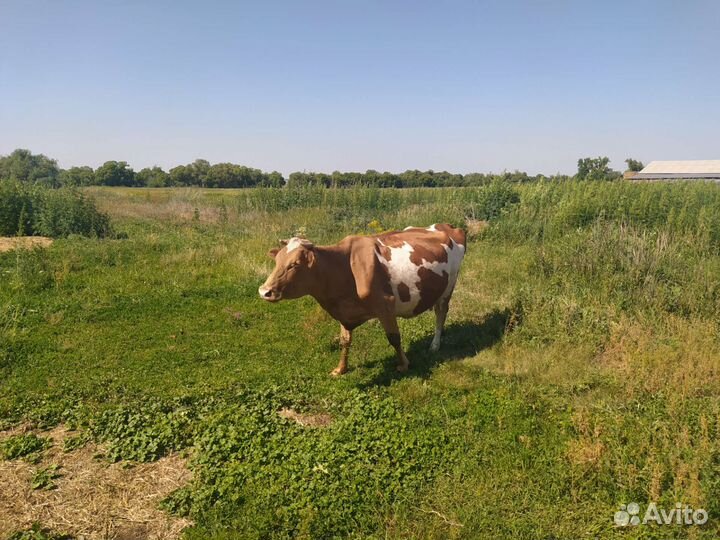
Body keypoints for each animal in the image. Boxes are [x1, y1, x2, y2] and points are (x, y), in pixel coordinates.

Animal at [258, 223, 466, 376]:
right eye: (277, 261)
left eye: (294, 264)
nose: (264, 291)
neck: (343, 267)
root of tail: (448, 227)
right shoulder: (344, 312)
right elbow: (344, 341)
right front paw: (340, 369)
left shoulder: (385, 306)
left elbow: (394, 338)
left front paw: (403, 365)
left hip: (448, 288)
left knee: (441, 314)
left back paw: (435, 345)